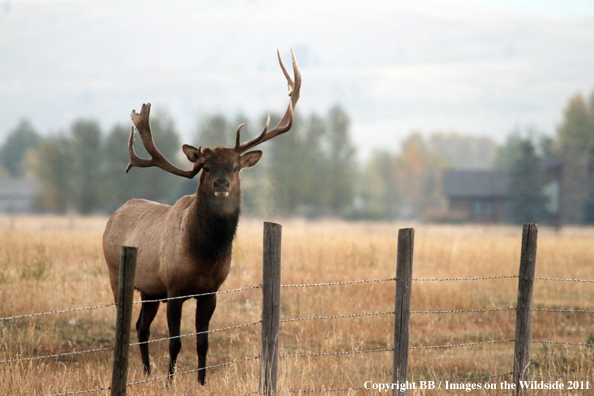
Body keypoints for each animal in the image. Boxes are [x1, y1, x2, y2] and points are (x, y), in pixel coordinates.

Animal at [103, 49, 300, 384]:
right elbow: (175, 342)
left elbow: (203, 342)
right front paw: (170, 381)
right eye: (206, 167)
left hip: (150, 290)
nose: (221, 184)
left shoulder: (210, 291)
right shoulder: (174, 289)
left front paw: (201, 381)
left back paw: (146, 371)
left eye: (235, 167)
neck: (203, 254)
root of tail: (112, 217)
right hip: (117, 272)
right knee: (128, 324)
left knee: (141, 327)